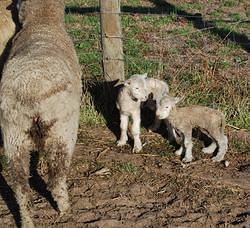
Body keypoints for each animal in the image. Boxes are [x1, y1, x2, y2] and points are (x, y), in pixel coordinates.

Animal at [0, 0, 82, 227]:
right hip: (63, 132)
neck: (42, 22)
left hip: (14, 137)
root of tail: (32, 96)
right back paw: (66, 210)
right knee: (56, 179)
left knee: (21, 188)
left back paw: (27, 220)